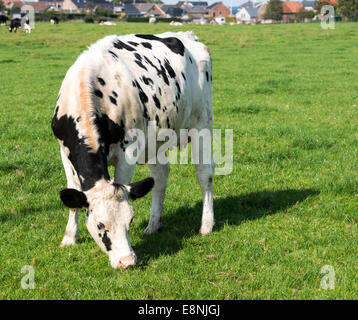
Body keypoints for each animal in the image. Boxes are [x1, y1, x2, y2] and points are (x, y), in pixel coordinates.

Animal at [51, 32, 214, 268]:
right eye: (100, 225)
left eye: (130, 219)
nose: (127, 261)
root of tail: (186, 36)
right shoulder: (64, 151)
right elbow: (73, 196)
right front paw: (69, 238)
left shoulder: (127, 152)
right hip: (157, 137)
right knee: (160, 176)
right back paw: (154, 225)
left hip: (202, 122)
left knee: (204, 174)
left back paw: (207, 225)